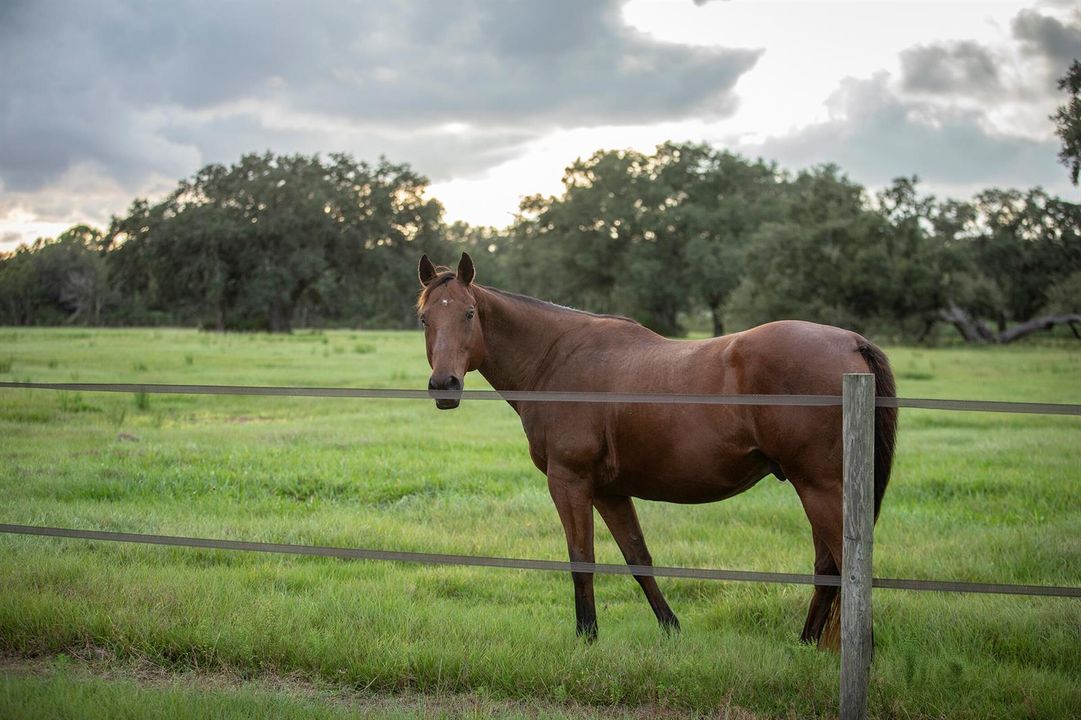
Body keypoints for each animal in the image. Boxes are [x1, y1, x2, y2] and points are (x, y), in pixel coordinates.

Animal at [415, 252, 897, 647]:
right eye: (424, 319)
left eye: (469, 313)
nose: (444, 385)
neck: (556, 361)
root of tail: (851, 341)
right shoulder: (609, 491)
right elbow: (637, 557)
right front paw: (671, 627)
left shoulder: (569, 482)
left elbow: (582, 559)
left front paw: (587, 636)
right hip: (814, 488)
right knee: (828, 568)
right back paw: (807, 644)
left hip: (819, 487)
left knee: (847, 566)